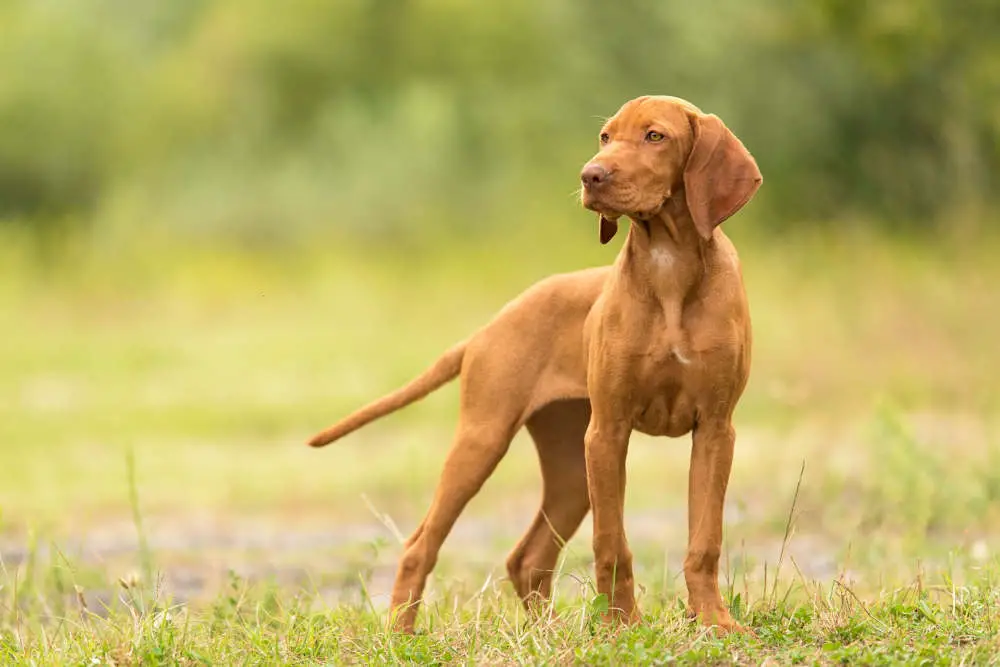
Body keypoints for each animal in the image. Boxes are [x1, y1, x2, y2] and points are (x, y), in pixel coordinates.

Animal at [308, 96, 760, 636]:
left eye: (656, 136)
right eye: (606, 136)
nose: (590, 175)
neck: (668, 265)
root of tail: (487, 329)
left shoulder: (715, 429)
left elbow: (705, 540)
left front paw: (713, 621)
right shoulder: (609, 431)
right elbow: (612, 543)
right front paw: (620, 628)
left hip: (572, 468)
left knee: (528, 558)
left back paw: (548, 632)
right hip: (489, 441)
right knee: (422, 545)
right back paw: (401, 633)